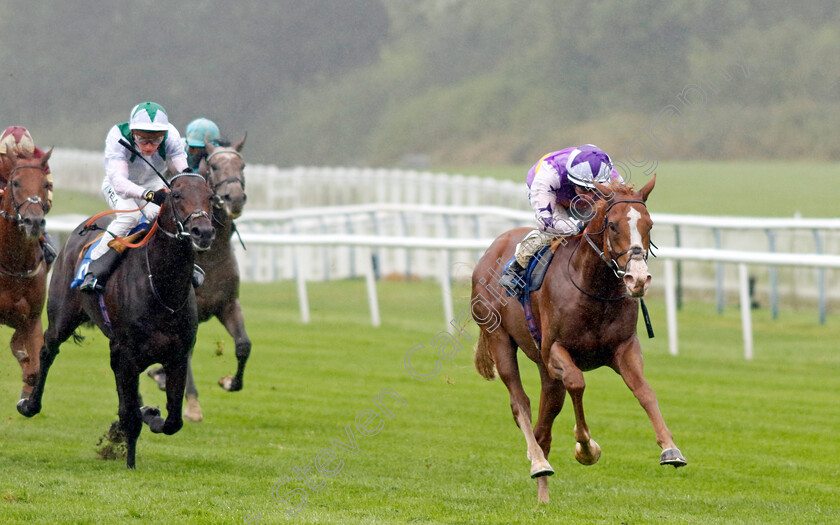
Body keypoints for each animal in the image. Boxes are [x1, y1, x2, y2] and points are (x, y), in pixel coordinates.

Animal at [19, 174, 218, 468]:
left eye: (210, 196)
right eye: (176, 195)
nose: (202, 231)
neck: (162, 288)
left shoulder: (177, 355)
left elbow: (172, 420)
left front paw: (151, 414)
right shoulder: (125, 355)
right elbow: (129, 414)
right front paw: (130, 462)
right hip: (62, 317)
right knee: (47, 350)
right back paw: (29, 404)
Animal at [147, 136, 251, 422]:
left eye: (242, 166)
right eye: (214, 166)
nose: (234, 198)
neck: (211, 255)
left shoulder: (228, 304)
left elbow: (243, 345)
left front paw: (229, 382)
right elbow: (187, 356)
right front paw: (192, 405)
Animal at [470, 174, 684, 502]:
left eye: (649, 224)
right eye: (613, 225)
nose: (638, 279)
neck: (594, 288)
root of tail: (491, 249)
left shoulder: (624, 348)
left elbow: (645, 392)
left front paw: (670, 449)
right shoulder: (555, 350)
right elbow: (577, 382)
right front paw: (586, 448)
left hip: (545, 371)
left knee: (544, 425)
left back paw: (543, 494)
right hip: (499, 338)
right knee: (520, 404)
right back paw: (538, 463)